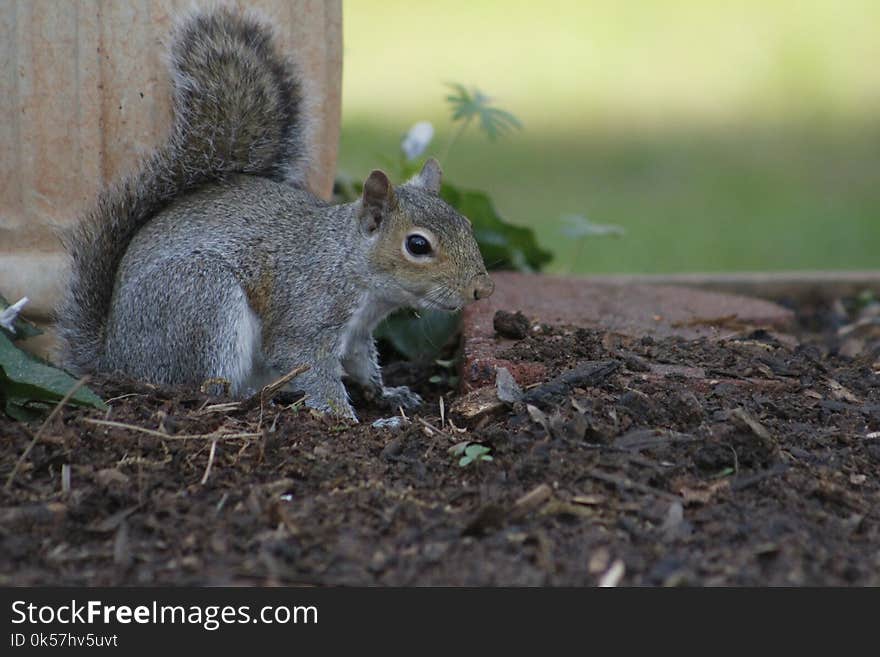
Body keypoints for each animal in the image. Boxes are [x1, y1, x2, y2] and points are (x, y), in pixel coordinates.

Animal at [55, 6, 496, 420]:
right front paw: (340, 413)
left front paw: (388, 394)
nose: (482, 290)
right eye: (418, 245)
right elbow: (305, 362)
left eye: (466, 224)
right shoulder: (307, 313)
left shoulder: (357, 334)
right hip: (202, 300)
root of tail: (114, 357)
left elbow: (362, 363)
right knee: (204, 386)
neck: (352, 267)